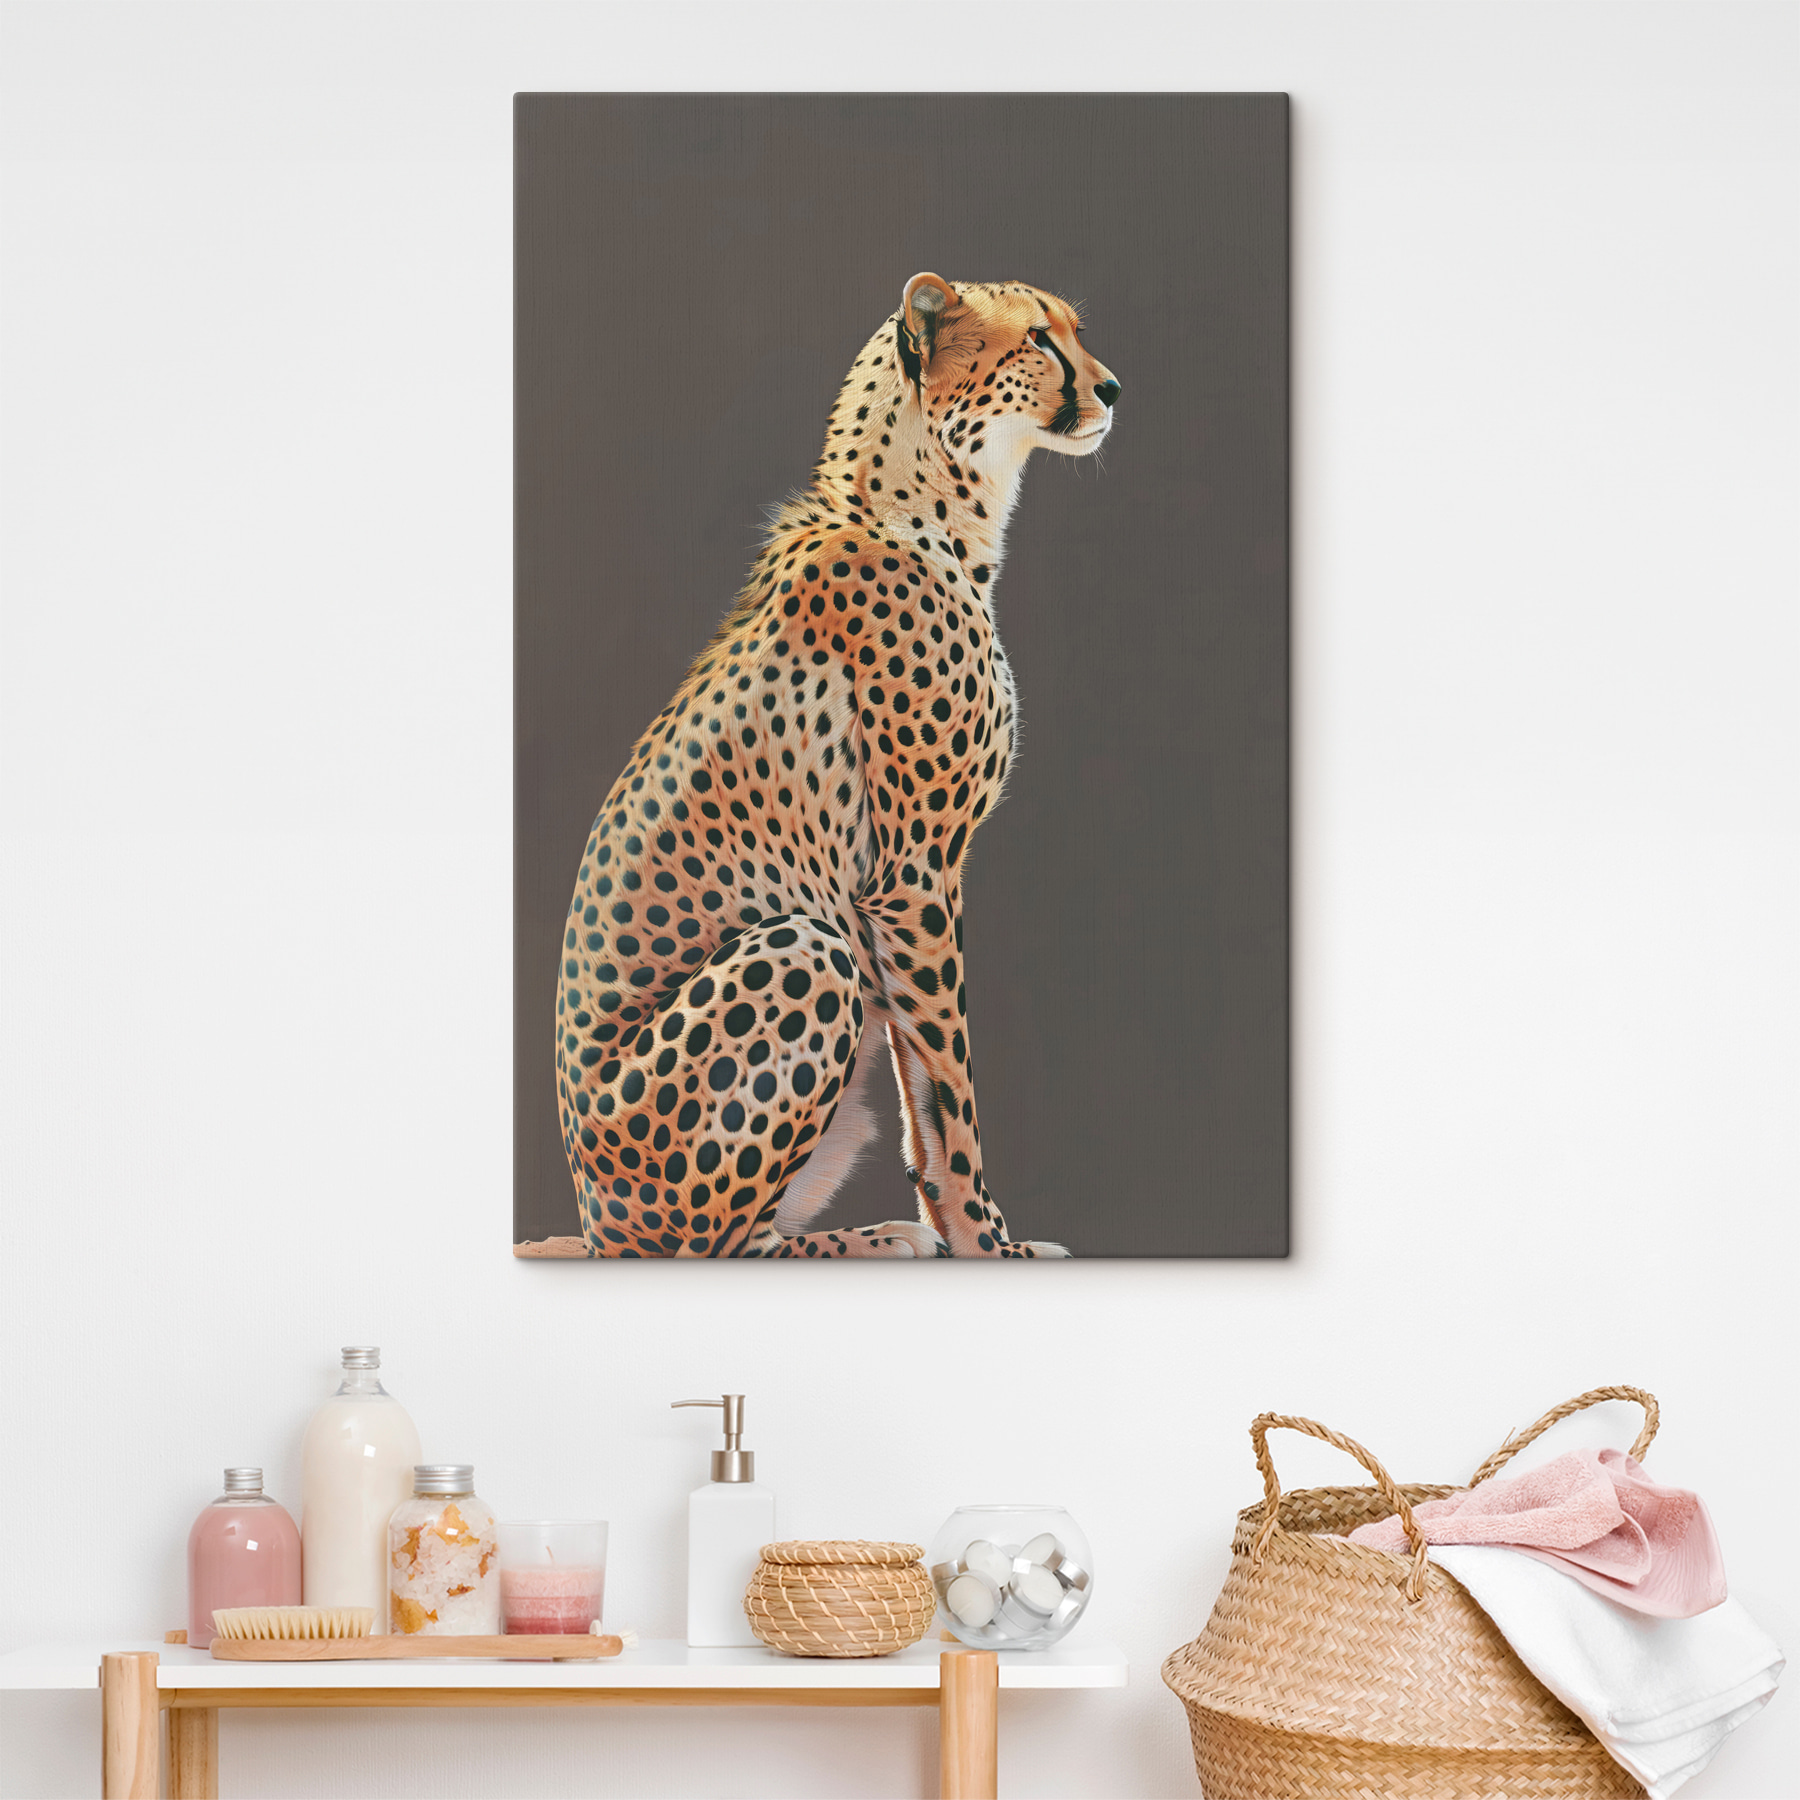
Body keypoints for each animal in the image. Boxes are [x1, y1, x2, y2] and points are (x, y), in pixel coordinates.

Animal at [555, 273, 1120, 1258]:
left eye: (1076, 332)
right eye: (1040, 341)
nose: (1114, 389)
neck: (929, 509)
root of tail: (594, 1223)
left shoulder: (897, 896)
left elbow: (921, 1090)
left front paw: (973, 1233)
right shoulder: (912, 876)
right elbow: (951, 1090)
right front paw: (987, 1242)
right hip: (805, 950)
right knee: (719, 1249)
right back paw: (872, 1240)